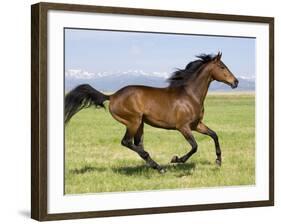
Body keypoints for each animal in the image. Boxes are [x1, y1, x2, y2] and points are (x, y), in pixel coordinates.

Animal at [65, 52, 238, 173]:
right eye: (222, 67)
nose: (235, 82)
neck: (190, 95)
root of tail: (112, 96)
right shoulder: (183, 127)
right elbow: (195, 146)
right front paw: (176, 159)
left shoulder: (196, 125)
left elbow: (214, 135)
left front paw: (218, 161)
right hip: (133, 121)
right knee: (127, 142)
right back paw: (159, 166)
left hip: (140, 123)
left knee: (137, 144)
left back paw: (156, 166)